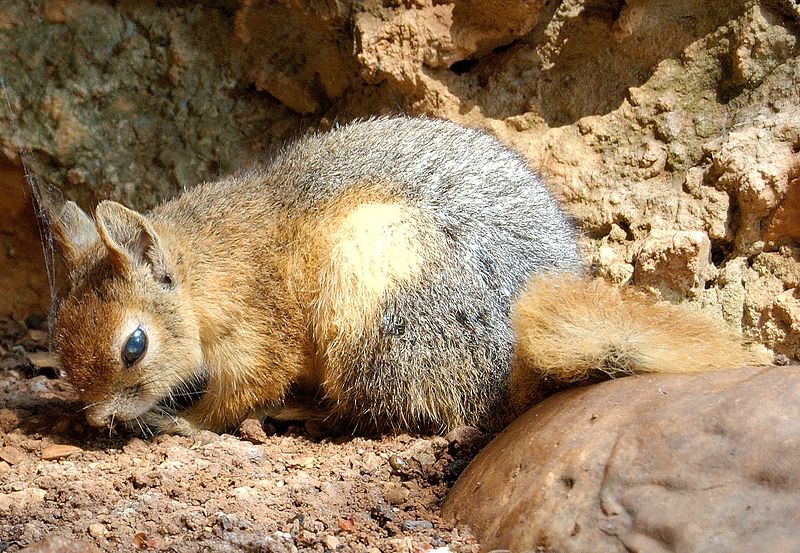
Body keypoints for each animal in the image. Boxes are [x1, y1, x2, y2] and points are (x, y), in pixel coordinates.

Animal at [48, 116, 764, 436]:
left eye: (134, 345)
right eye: (58, 344)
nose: (95, 421)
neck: (211, 266)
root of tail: (514, 374)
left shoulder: (259, 332)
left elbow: (242, 392)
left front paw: (187, 422)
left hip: (370, 293)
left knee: (381, 410)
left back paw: (304, 412)